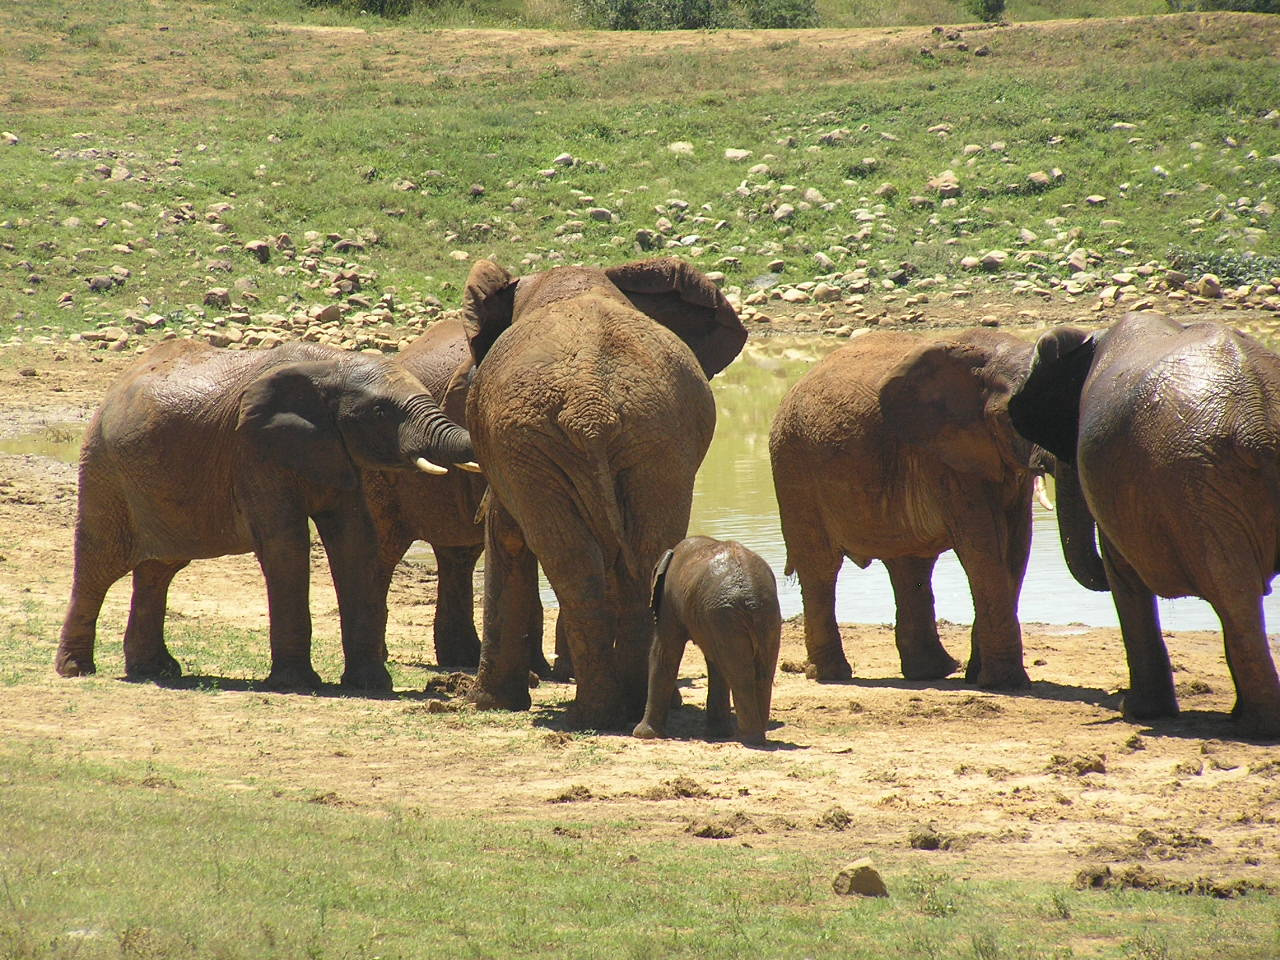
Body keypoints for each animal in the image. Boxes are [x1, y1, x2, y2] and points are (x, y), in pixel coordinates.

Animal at [53, 337, 476, 691]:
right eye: (380, 411)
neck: (330, 365)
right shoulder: (254, 450)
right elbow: (287, 544)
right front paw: (297, 684)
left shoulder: (336, 454)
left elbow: (356, 543)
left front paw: (372, 685)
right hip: (103, 468)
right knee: (99, 565)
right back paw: (76, 669)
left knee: (159, 571)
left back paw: (155, 670)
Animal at [460, 259, 747, 732]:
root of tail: (590, 408)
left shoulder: (502, 454)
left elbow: (506, 536)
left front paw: (486, 703)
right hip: (654, 441)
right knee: (642, 558)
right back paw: (628, 707)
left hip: (541, 441)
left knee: (575, 565)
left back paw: (592, 714)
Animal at [629, 537, 778, 747]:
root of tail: (750, 593)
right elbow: (714, 662)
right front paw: (718, 734)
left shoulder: (669, 600)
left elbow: (665, 652)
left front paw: (642, 734)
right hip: (761, 613)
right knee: (759, 671)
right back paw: (755, 736)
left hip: (726, 614)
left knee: (740, 674)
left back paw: (750, 739)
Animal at [762, 330, 1044, 691]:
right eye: (1013, 417)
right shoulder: (944, 454)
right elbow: (984, 545)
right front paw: (1004, 684)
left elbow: (1016, 546)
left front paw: (980, 676)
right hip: (793, 465)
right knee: (821, 566)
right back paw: (832, 674)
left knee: (911, 566)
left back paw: (932, 671)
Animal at [1008, 309, 1280, 737]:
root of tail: (1259, 424)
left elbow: (1122, 574)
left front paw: (1137, 710)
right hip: (1204, 483)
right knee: (1235, 591)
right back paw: (1253, 721)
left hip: (1197, 481)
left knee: (1231, 589)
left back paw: (1255, 724)